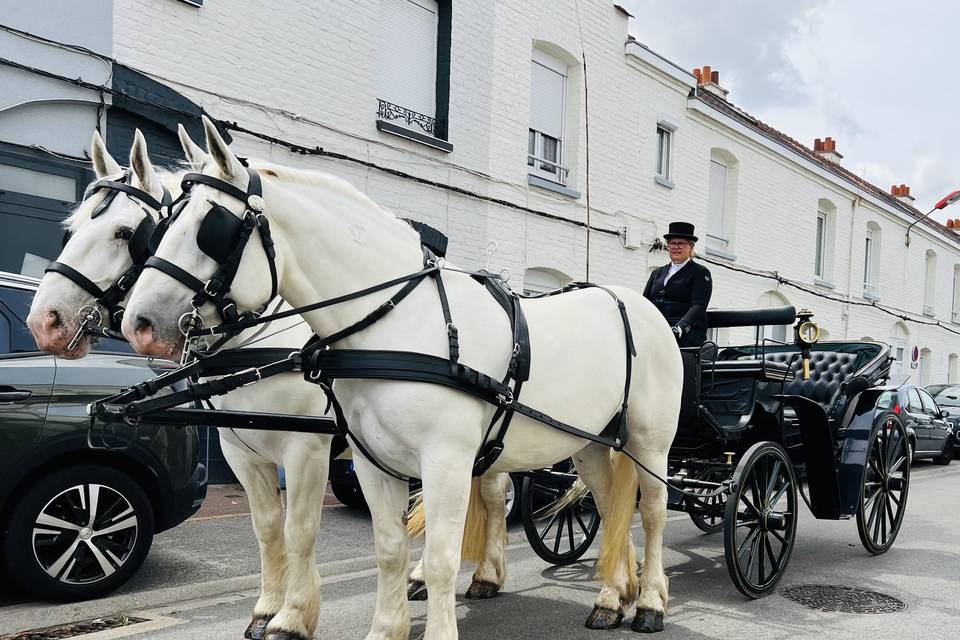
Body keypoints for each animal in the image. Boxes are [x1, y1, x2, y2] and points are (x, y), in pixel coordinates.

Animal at [118, 117, 684, 636]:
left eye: (209, 227)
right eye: (162, 226)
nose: (138, 324)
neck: (396, 322)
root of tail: (638, 304)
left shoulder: (439, 461)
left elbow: (437, 558)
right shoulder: (371, 461)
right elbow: (388, 548)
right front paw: (385, 627)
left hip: (650, 443)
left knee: (653, 511)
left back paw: (649, 602)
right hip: (589, 442)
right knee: (609, 506)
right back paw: (612, 596)